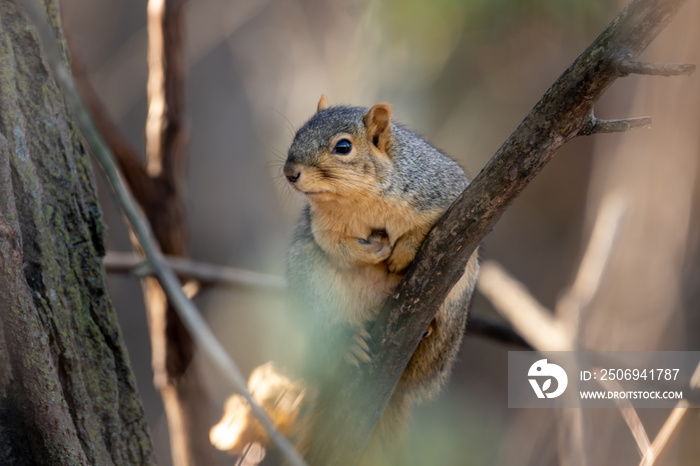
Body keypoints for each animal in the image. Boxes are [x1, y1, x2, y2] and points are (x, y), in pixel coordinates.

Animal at [211, 96, 478, 464]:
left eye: (343, 147)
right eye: (298, 133)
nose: (290, 172)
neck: (358, 198)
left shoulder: (445, 190)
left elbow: (434, 224)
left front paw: (402, 251)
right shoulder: (321, 226)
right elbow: (337, 249)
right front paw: (375, 253)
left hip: (454, 311)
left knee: (424, 367)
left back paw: (426, 332)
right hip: (311, 295)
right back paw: (348, 343)